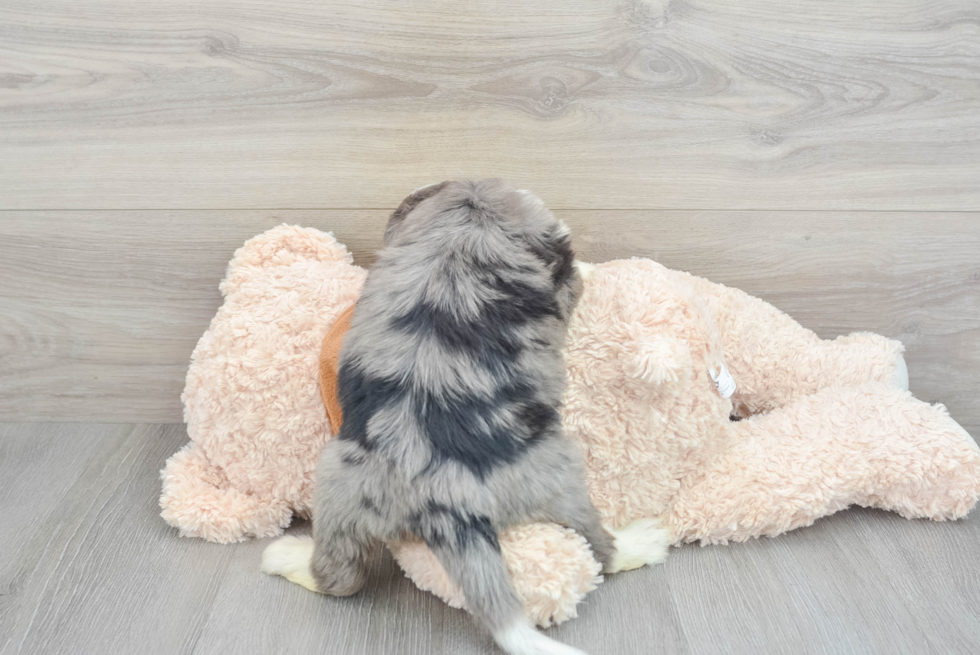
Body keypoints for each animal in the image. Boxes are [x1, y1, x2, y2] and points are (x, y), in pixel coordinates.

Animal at [262, 181, 668, 655]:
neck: (471, 219)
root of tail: (441, 492)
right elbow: (574, 281)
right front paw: (586, 265)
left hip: (335, 482)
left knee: (339, 577)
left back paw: (286, 558)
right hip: (564, 474)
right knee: (601, 546)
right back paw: (642, 541)